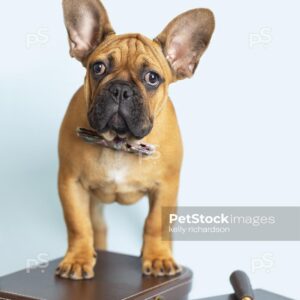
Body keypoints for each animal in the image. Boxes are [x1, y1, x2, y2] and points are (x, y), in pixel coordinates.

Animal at [56, 0, 214, 278]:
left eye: (152, 78)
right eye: (98, 68)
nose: (120, 89)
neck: (119, 143)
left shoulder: (166, 188)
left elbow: (154, 224)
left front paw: (158, 258)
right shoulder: (69, 182)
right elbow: (78, 224)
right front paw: (77, 259)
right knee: (96, 227)